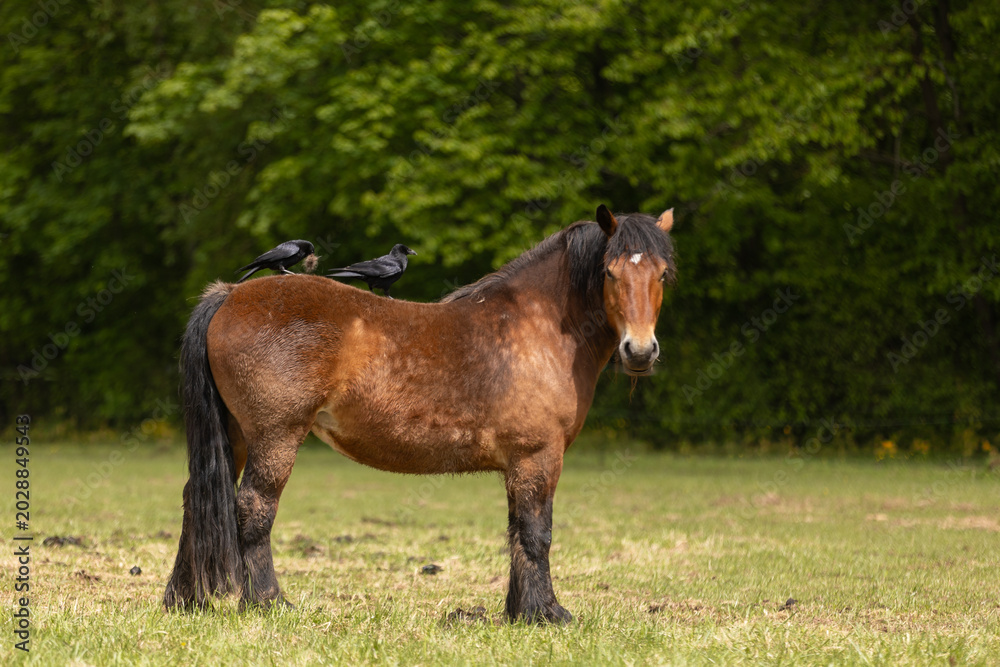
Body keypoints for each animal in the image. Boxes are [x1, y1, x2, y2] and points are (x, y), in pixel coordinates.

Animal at [163, 204, 676, 623]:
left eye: (663, 275)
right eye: (609, 273)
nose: (639, 351)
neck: (538, 327)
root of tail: (230, 295)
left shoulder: (519, 464)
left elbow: (516, 530)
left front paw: (517, 612)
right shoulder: (539, 457)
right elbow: (537, 532)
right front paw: (546, 614)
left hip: (236, 436)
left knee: (196, 497)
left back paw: (186, 600)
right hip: (276, 436)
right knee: (253, 507)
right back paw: (268, 602)